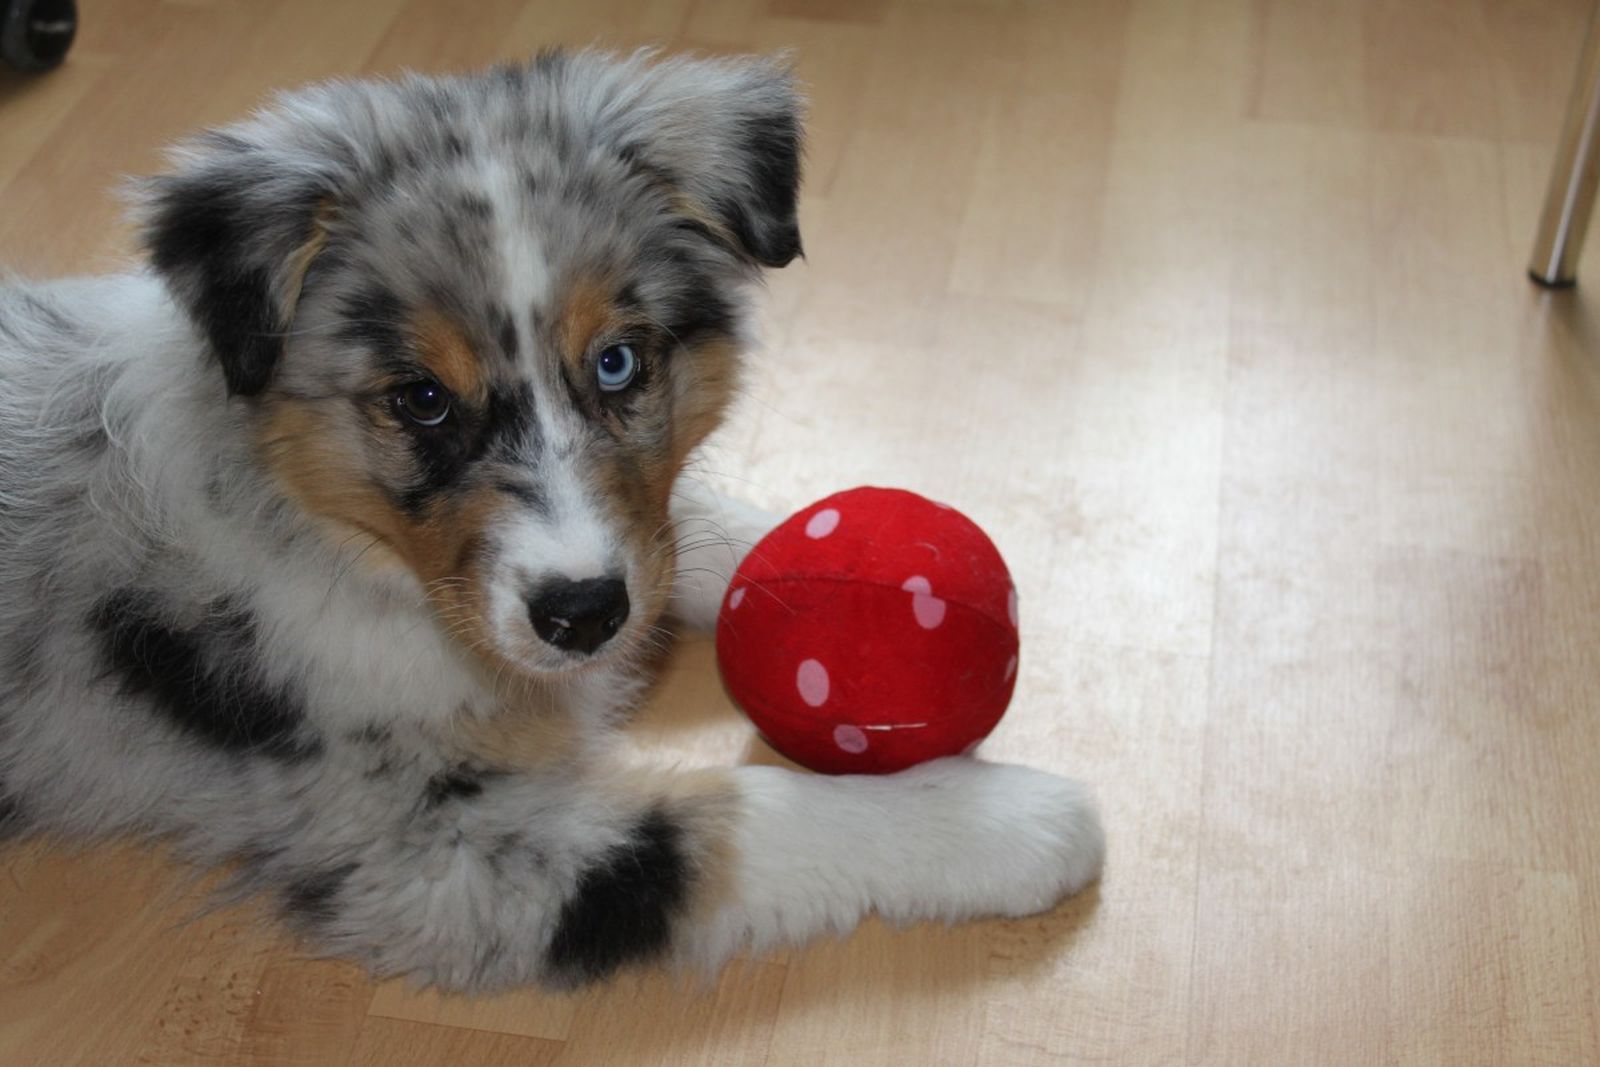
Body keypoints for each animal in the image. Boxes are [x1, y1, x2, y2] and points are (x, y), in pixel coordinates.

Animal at [0, 51, 1100, 991]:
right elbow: (741, 819)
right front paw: (1007, 818)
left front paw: (838, 547)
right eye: (420, 401)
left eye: (617, 362)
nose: (583, 615)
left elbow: (695, 532)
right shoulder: (417, 845)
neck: (317, 526)